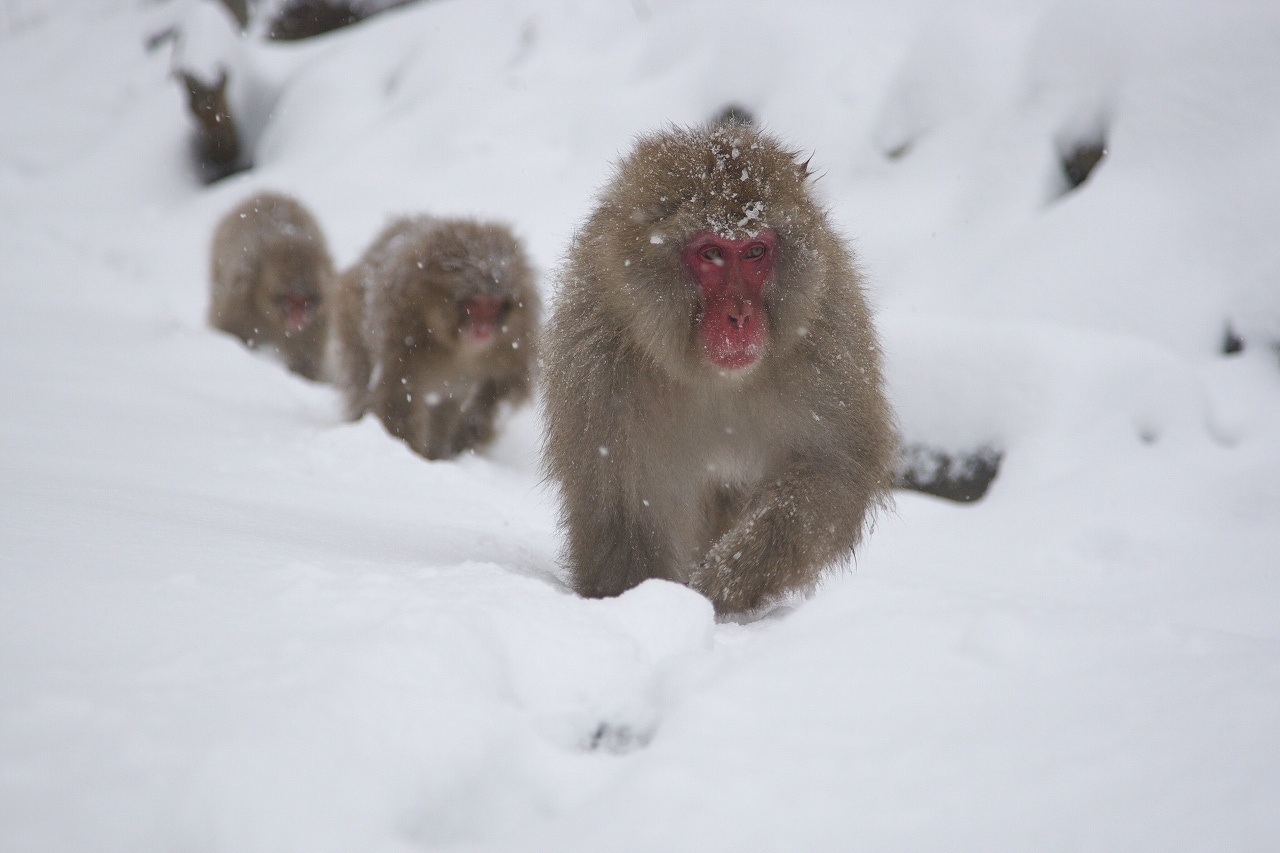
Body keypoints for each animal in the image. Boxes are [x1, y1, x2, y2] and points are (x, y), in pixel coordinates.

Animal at [208, 192, 335, 381]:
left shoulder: (318, 318)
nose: (299, 318)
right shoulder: (239, 298)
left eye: (306, 300)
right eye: (289, 299)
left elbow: (306, 358)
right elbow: (230, 331)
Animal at [330, 216, 540, 461]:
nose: (483, 330)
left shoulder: (515, 339)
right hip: (350, 318)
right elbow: (400, 392)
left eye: (493, 307)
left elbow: (500, 389)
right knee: (361, 376)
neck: (459, 347)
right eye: (475, 304)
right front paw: (410, 450)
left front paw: (467, 431)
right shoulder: (403, 330)